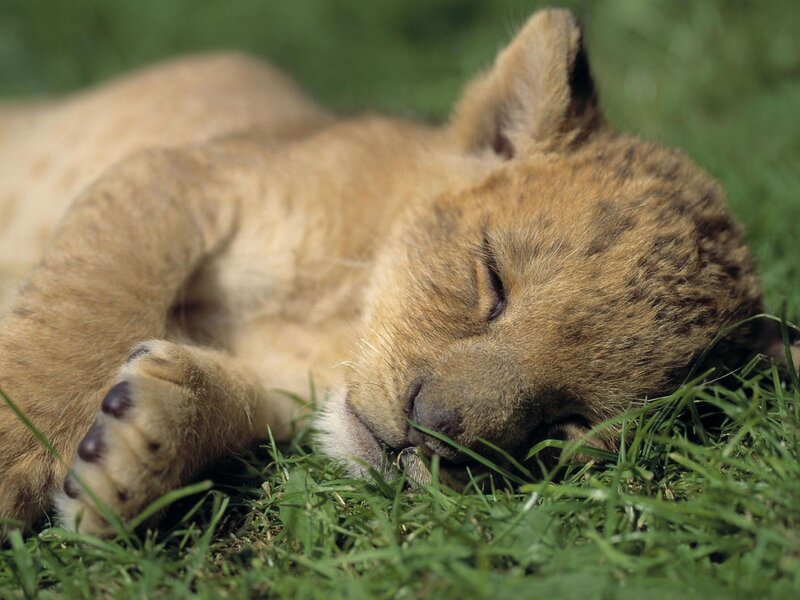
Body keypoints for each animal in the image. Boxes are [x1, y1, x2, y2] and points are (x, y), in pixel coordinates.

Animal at [0, 9, 789, 537]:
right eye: (492, 281)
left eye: (569, 423)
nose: (430, 433)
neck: (336, 322)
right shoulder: (177, 176)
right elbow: (84, 311)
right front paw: (16, 456)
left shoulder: (284, 394)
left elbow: (232, 401)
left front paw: (139, 449)